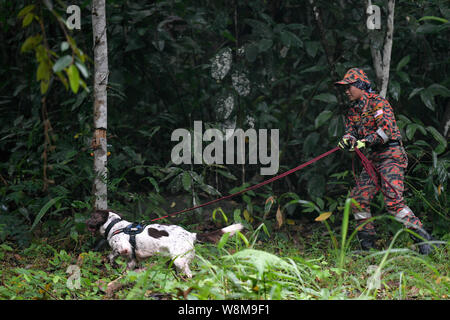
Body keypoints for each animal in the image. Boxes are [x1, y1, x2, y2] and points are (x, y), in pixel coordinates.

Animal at [86, 210, 244, 278]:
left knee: (189, 274)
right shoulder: (132, 260)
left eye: (92, 216)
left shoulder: (122, 248)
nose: (85, 222)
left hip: (179, 260)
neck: (115, 225)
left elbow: (111, 254)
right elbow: (124, 268)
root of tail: (191, 235)